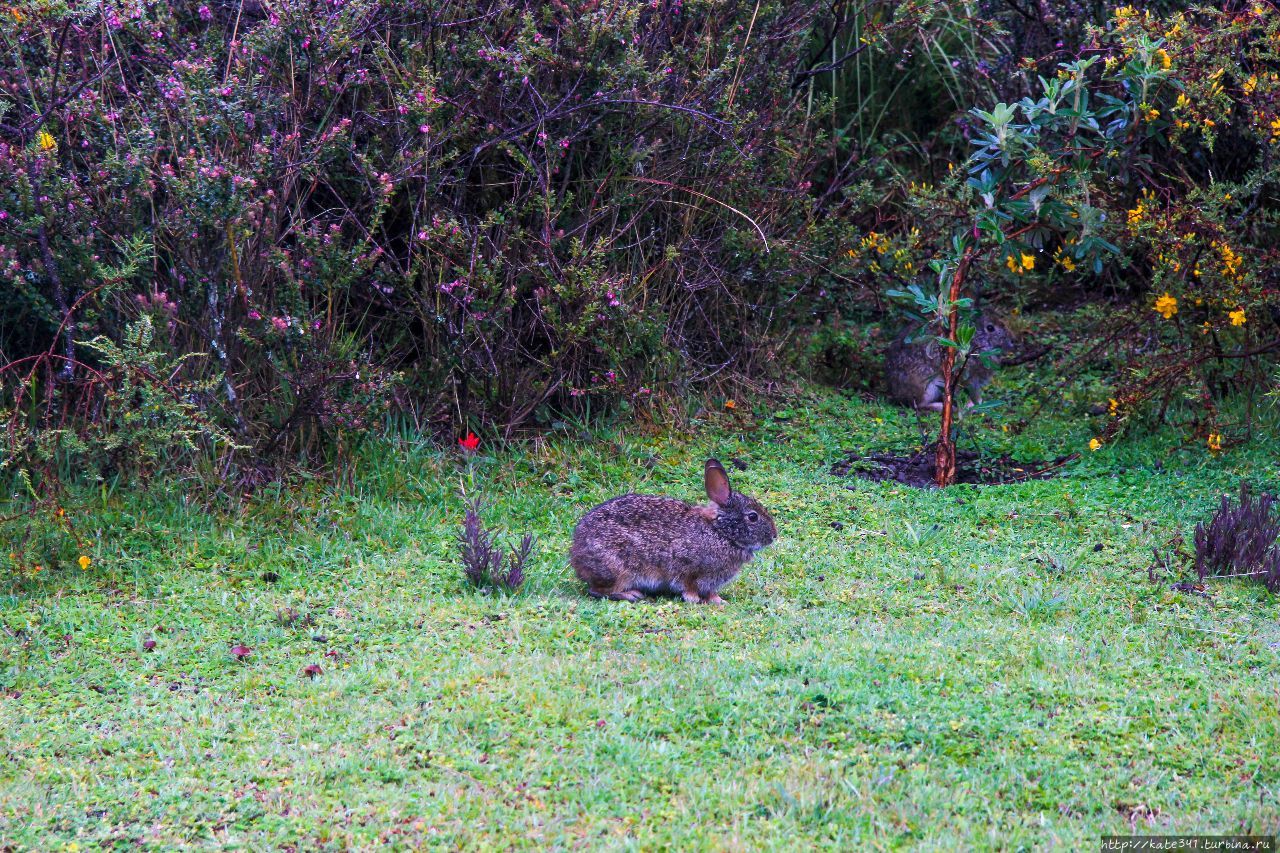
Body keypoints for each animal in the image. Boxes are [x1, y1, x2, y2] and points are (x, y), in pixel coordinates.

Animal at [573, 455, 773, 601]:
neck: (721, 532)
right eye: (753, 517)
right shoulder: (689, 569)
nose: (774, 536)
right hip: (618, 569)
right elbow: (689, 586)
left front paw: (717, 600)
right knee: (598, 590)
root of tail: (576, 554)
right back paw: (630, 594)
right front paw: (696, 599)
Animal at [885, 312, 1013, 412]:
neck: (975, 338)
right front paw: (970, 406)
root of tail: (896, 392)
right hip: (929, 386)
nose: (1012, 341)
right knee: (919, 405)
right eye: (990, 328)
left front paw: (978, 404)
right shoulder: (964, 377)